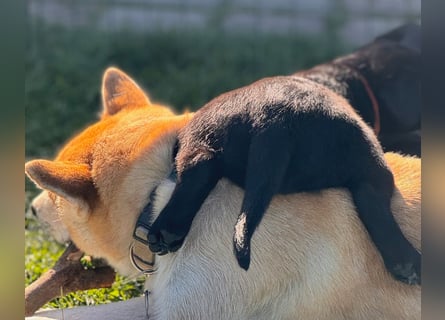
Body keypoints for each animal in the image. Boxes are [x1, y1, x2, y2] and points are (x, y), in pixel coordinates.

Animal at [26, 68, 422, 320]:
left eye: (55, 199)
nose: (31, 208)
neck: (161, 187)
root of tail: (277, 125)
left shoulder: (184, 313)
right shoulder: (159, 304)